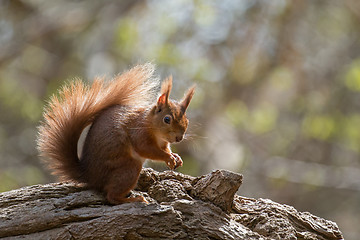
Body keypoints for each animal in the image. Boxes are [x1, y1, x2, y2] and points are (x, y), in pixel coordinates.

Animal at [36, 64, 194, 204]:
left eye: (187, 120)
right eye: (167, 119)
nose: (179, 138)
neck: (153, 128)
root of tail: (90, 176)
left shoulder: (164, 143)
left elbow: (166, 148)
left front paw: (176, 157)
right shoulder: (139, 132)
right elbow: (146, 148)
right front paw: (168, 157)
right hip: (129, 168)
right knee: (111, 197)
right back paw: (133, 199)